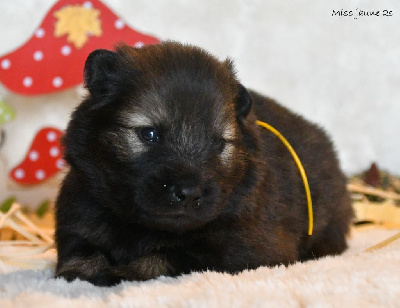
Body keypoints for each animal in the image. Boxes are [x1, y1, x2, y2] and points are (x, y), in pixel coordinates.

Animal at [54, 41, 352, 286]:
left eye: (219, 144)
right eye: (149, 134)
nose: (188, 193)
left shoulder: (241, 246)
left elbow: (165, 256)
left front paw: (120, 272)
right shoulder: (80, 211)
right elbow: (81, 252)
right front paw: (83, 270)